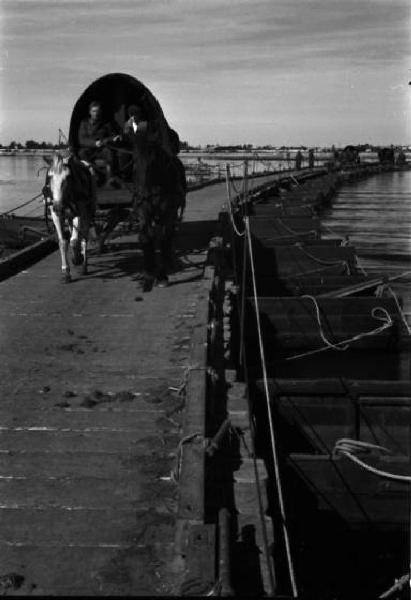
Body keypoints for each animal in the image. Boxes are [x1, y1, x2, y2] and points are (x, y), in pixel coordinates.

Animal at [44, 156, 96, 284]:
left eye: (67, 177)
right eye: (50, 177)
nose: (58, 206)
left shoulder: (79, 212)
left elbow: (74, 240)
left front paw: (77, 259)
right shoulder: (56, 214)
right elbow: (63, 241)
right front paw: (66, 272)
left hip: (88, 211)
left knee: (84, 236)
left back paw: (83, 265)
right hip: (69, 216)